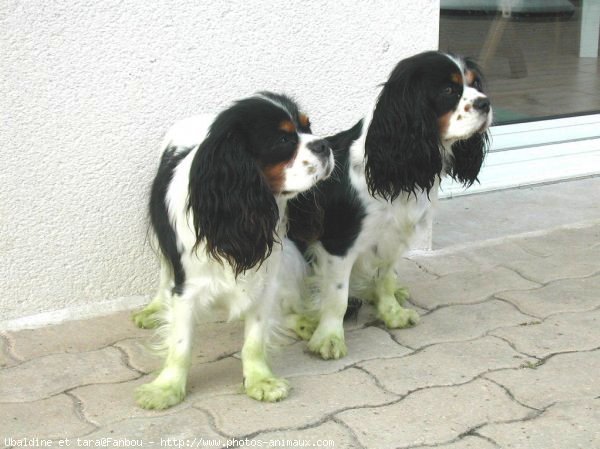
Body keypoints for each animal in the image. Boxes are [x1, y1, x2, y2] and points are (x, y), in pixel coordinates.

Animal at [133, 92, 336, 406]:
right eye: (283, 140)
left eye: (308, 126)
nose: (324, 144)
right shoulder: (187, 287)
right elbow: (180, 344)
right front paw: (167, 387)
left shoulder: (265, 279)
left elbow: (255, 338)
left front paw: (259, 380)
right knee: (164, 273)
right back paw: (154, 307)